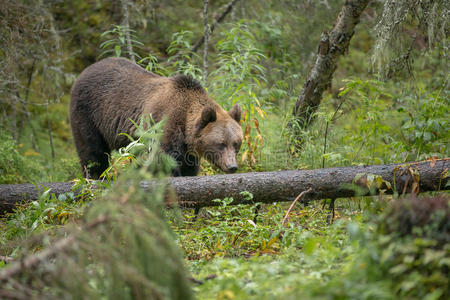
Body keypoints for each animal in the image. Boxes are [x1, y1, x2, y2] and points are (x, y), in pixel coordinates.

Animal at [69, 57, 243, 178]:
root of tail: (85, 71)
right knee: (92, 151)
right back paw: (94, 176)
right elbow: (163, 162)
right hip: (88, 113)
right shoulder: (162, 125)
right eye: (221, 143)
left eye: (236, 143)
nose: (232, 166)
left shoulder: (188, 149)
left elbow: (190, 167)